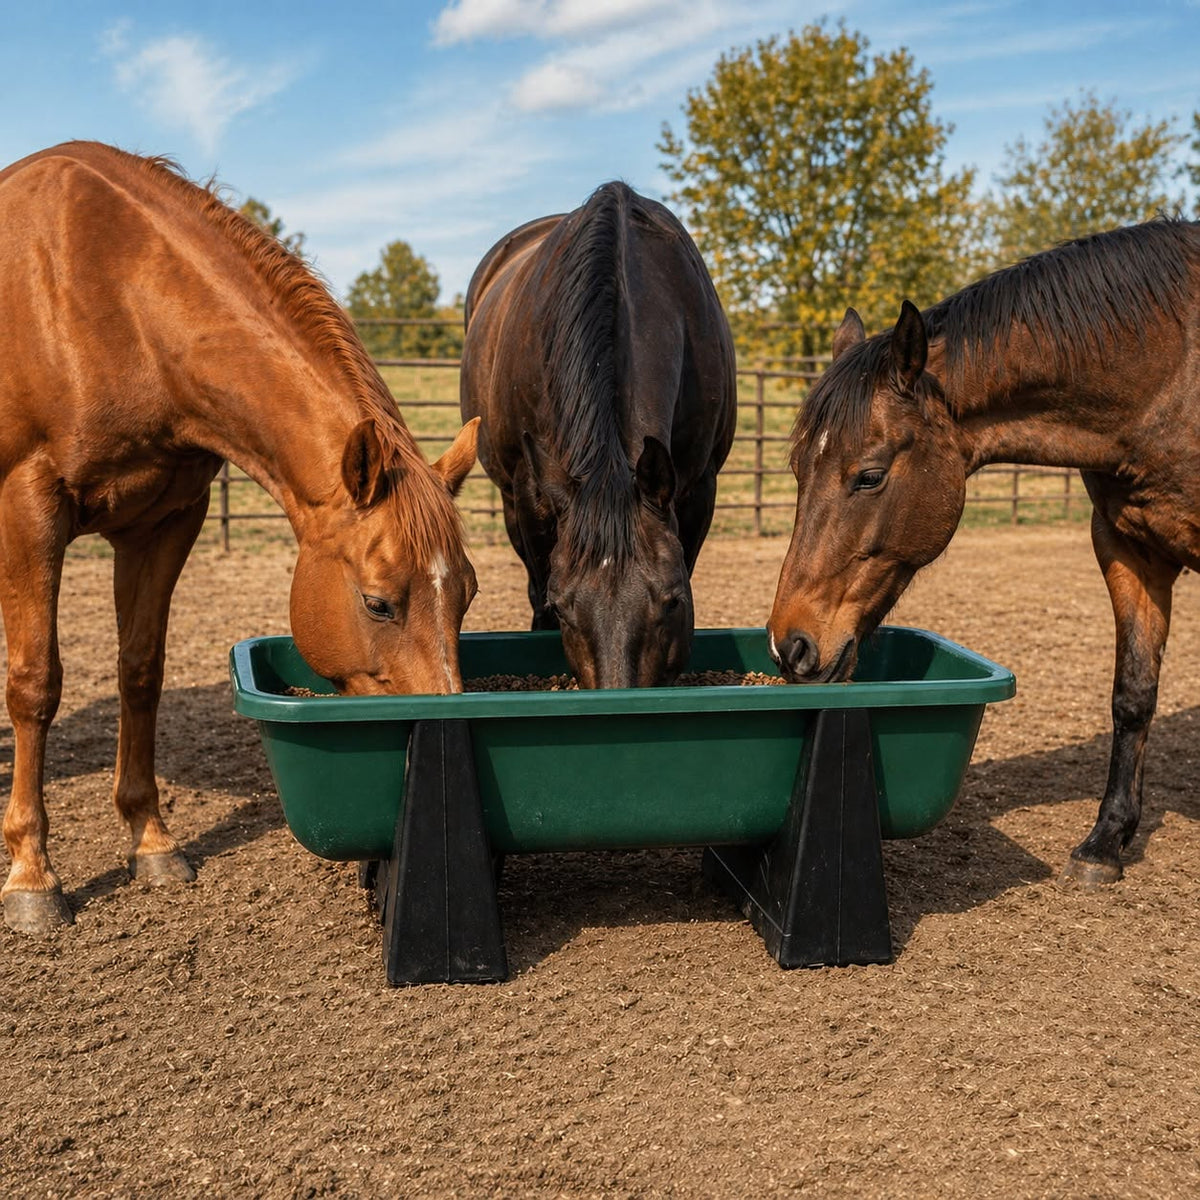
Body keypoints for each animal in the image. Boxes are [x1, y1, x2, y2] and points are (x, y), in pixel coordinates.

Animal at [0, 142, 480, 934]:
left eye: (466, 596)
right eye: (378, 603)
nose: (443, 726)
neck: (109, 293)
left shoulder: (166, 521)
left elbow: (141, 671)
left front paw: (152, 842)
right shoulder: (29, 509)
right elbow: (35, 683)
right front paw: (33, 877)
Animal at [460, 182, 737, 688]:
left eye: (673, 600)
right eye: (564, 607)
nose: (617, 690)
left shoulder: (700, 486)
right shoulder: (532, 490)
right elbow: (538, 590)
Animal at [768, 216, 1200, 888]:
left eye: (869, 476)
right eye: (795, 469)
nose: (790, 645)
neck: (1170, 379)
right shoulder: (1129, 548)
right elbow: (1133, 694)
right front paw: (1105, 842)